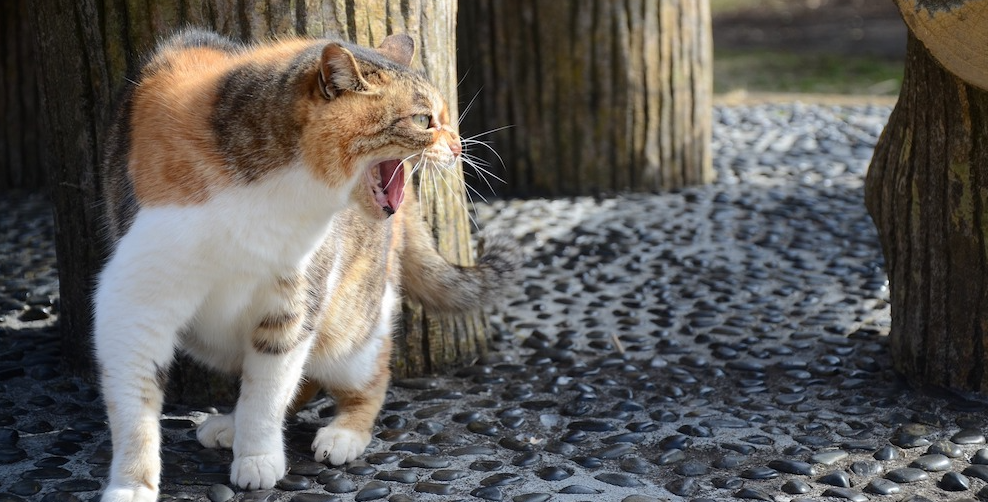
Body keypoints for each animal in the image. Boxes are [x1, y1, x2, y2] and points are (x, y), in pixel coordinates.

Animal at [94, 29, 516, 502]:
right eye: (424, 120)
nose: (459, 147)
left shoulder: (293, 300)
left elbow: (268, 391)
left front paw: (258, 457)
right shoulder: (135, 305)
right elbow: (135, 407)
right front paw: (131, 485)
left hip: (351, 325)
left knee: (365, 378)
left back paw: (342, 433)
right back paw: (230, 424)